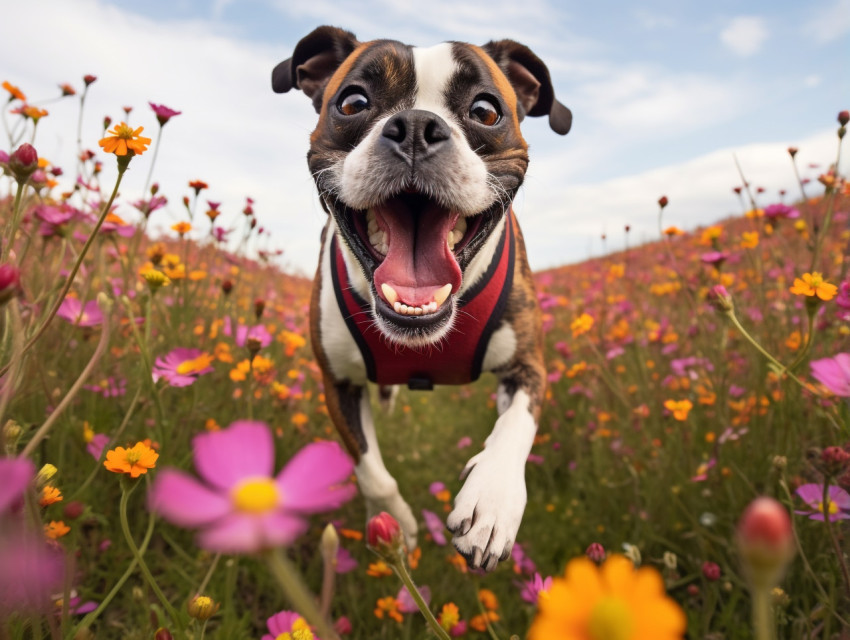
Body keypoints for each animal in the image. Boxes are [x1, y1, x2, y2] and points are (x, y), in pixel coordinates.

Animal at [272, 27, 572, 572]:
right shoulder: (337, 384)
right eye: (352, 102)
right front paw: (397, 525)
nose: (415, 126)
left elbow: (516, 425)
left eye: (486, 111)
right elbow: (370, 468)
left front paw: (491, 502)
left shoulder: (528, 366)